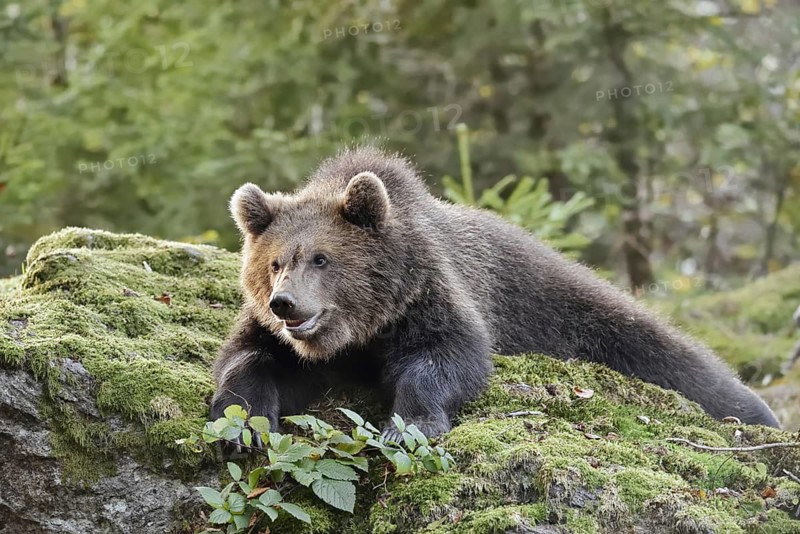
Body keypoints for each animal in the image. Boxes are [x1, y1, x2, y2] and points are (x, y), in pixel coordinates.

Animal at [210, 146, 780, 443]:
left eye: (322, 258)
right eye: (274, 263)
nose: (286, 303)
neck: (363, 329)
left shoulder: (430, 297)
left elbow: (448, 356)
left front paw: (408, 425)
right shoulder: (290, 340)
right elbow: (249, 359)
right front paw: (241, 427)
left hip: (565, 303)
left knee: (665, 351)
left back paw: (759, 412)